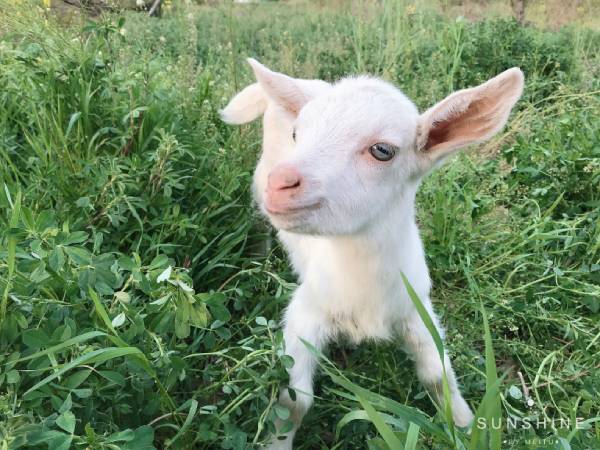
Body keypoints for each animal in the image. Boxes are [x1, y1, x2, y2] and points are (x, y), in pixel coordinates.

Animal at [223, 58, 524, 448]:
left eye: (382, 150)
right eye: (296, 134)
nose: (281, 183)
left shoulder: (415, 307)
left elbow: (438, 375)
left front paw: (465, 426)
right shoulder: (306, 311)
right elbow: (295, 400)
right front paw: (277, 442)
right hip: (258, 185)